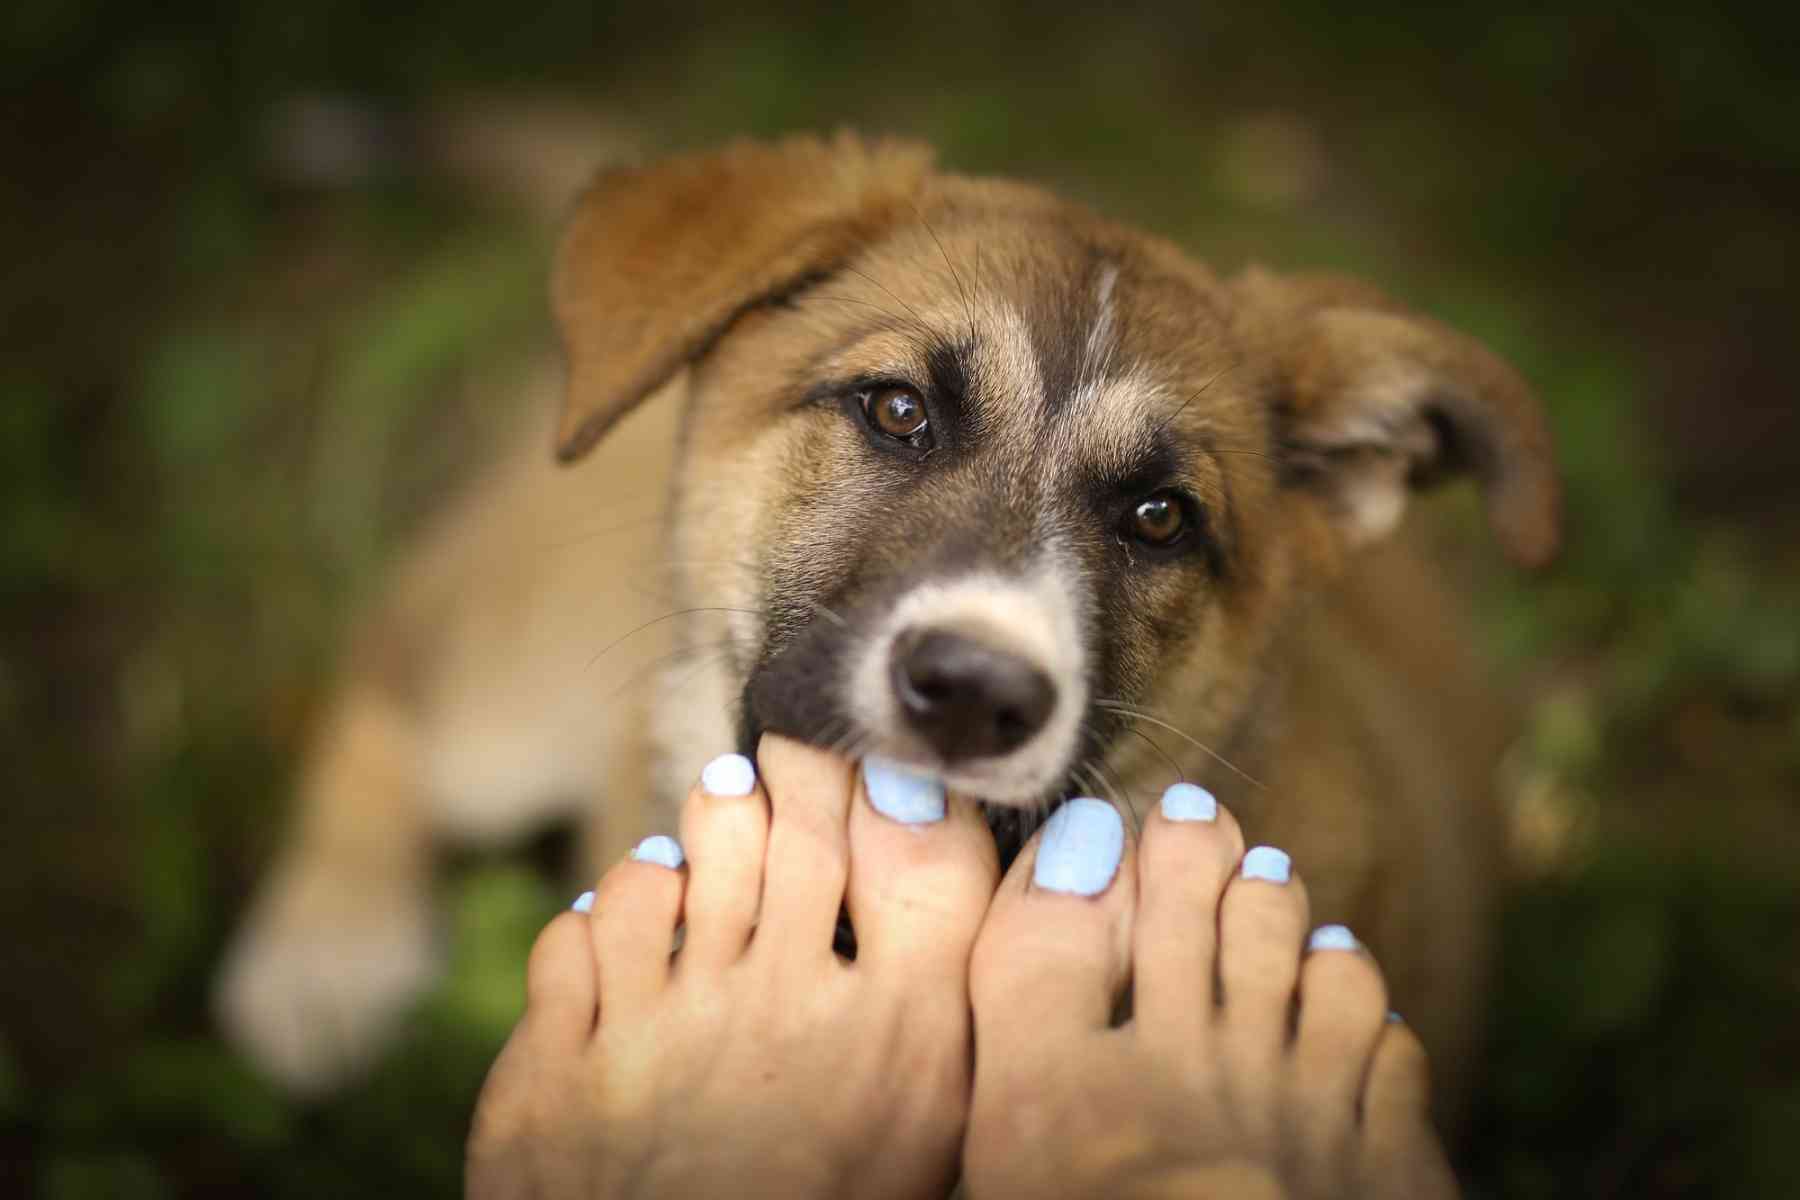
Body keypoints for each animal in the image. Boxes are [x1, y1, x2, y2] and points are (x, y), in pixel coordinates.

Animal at [217, 126, 1555, 1115]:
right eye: (898, 409)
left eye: (1161, 516)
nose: (975, 691)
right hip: (522, 676)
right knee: (383, 673)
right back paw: (325, 954)